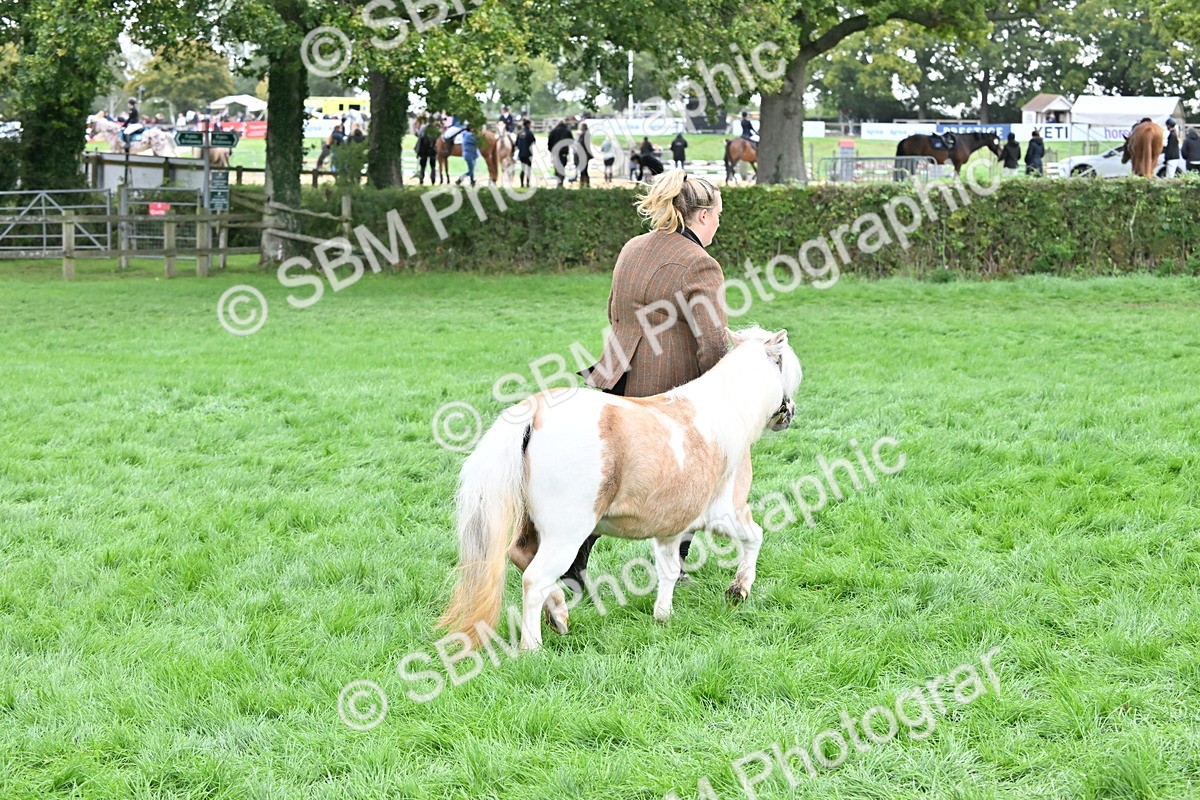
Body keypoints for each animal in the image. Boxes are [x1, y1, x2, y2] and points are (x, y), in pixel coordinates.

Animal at [440, 326, 802, 652]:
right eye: (784, 366)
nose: (789, 414)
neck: (725, 414)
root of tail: (535, 411)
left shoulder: (670, 528)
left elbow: (669, 570)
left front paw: (663, 616)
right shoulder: (726, 513)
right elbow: (754, 537)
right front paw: (738, 590)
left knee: (522, 557)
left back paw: (558, 614)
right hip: (566, 535)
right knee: (535, 579)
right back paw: (533, 647)